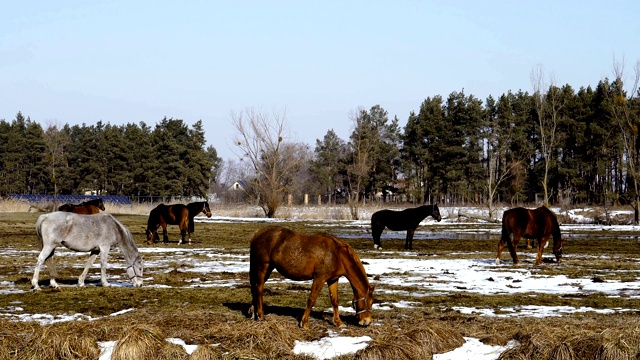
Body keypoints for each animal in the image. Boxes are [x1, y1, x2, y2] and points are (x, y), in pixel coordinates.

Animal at [246, 226, 376, 328]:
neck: (337, 254)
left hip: (268, 268)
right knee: (259, 289)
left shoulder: (333, 280)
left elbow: (334, 301)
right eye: (370, 301)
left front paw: (339, 322)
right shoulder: (319, 278)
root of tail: (258, 233)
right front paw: (304, 323)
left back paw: (253, 312)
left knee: (256, 287)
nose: (367, 322)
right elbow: (311, 299)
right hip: (263, 266)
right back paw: (261, 315)